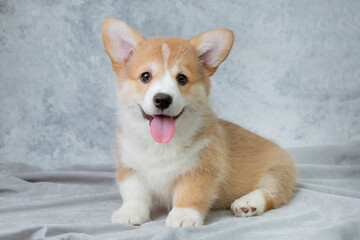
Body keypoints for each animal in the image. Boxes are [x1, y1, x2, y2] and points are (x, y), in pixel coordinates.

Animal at [101, 18, 296, 227]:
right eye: (145, 76)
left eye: (182, 78)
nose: (162, 99)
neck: (159, 145)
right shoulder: (130, 168)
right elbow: (134, 194)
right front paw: (130, 212)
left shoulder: (200, 169)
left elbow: (190, 194)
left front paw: (183, 216)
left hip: (277, 172)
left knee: (271, 192)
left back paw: (248, 203)